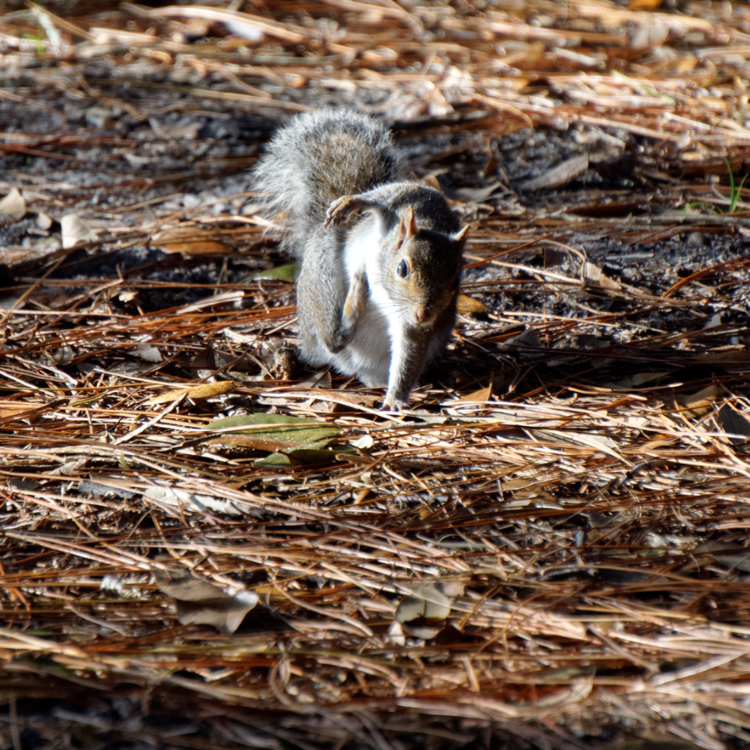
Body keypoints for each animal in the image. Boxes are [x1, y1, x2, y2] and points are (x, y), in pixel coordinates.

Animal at [258, 108, 470, 408]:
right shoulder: (399, 203)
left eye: (455, 281)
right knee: (332, 339)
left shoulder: (410, 324)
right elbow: (380, 196)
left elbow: (409, 355)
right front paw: (351, 203)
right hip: (322, 274)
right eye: (402, 268)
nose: (423, 315)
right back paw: (355, 296)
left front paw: (395, 399)